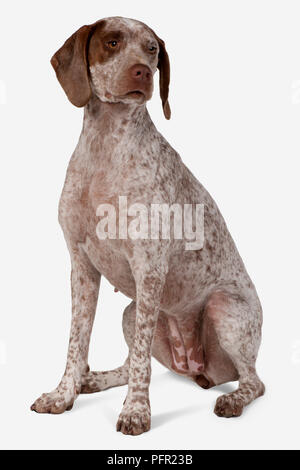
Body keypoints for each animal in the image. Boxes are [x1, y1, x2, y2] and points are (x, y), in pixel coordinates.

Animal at [31, 16, 264, 436]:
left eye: (152, 49)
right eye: (112, 42)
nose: (142, 71)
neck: (106, 146)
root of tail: (198, 369)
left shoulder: (149, 268)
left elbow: (140, 363)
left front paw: (136, 412)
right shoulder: (82, 268)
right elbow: (77, 342)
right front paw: (63, 394)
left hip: (223, 309)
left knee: (253, 381)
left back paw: (232, 400)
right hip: (131, 311)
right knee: (129, 365)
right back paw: (94, 379)